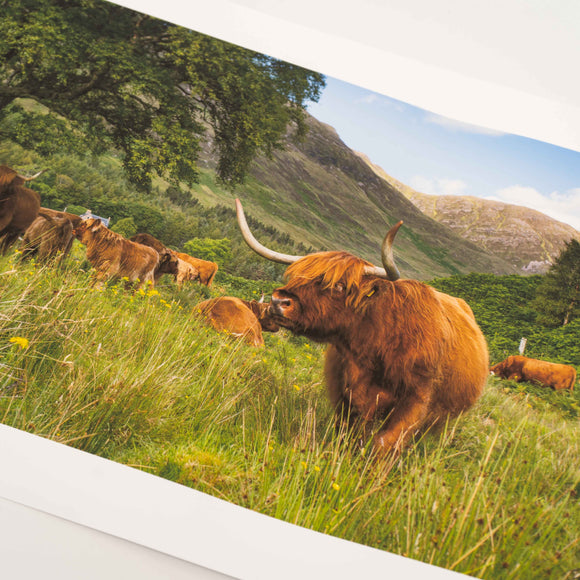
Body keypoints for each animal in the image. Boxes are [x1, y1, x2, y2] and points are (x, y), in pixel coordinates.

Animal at [236, 199, 490, 458]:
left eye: (339, 286)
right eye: (297, 276)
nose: (279, 302)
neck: (376, 347)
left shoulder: (417, 400)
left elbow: (384, 443)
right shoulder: (346, 393)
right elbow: (350, 434)